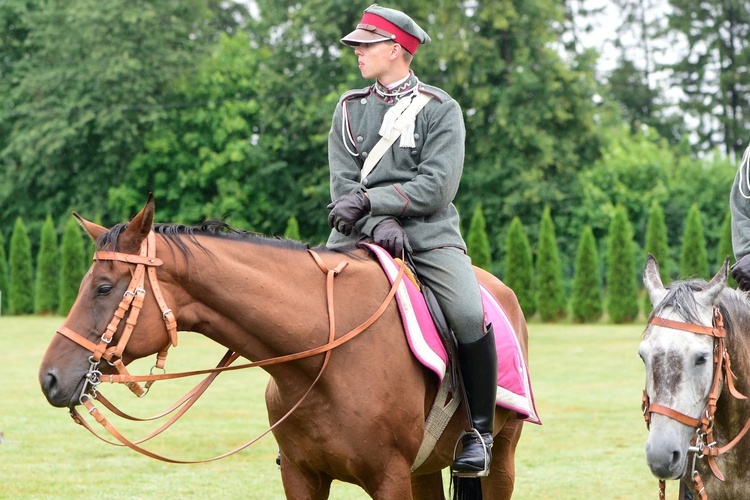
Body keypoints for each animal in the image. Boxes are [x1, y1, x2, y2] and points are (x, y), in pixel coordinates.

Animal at [36, 197, 528, 498]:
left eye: (103, 288)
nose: (50, 378)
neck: (325, 360)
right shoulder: (301, 475)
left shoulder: (390, 478)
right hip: (425, 470)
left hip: (501, 458)